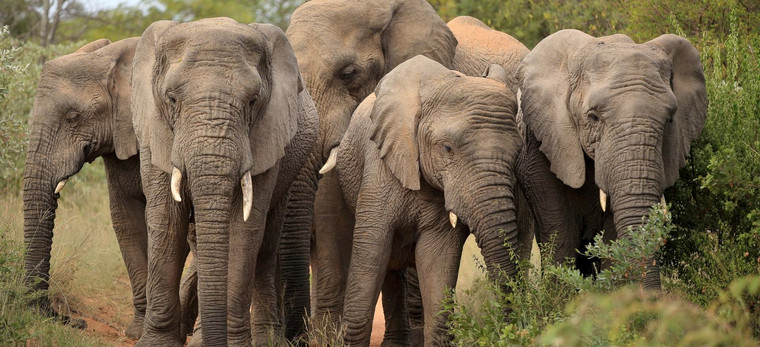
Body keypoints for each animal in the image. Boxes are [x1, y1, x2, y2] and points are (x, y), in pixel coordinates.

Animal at [131, 17, 318, 346]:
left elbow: (244, 230)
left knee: (266, 246)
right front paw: (156, 343)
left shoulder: (266, 138)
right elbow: (167, 223)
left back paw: (264, 339)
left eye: (253, 101)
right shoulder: (155, 135)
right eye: (171, 99)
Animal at [320, 55, 524, 346]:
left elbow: (438, 259)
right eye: (447, 149)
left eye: (517, 153)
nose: (513, 329)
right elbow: (371, 251)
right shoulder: (379, 164)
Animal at [516, 29, 708, 290]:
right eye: (593, 117)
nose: (653, 297)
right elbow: (561, 235)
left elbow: (612, 236)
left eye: (670, 120)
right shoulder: (542, 147)